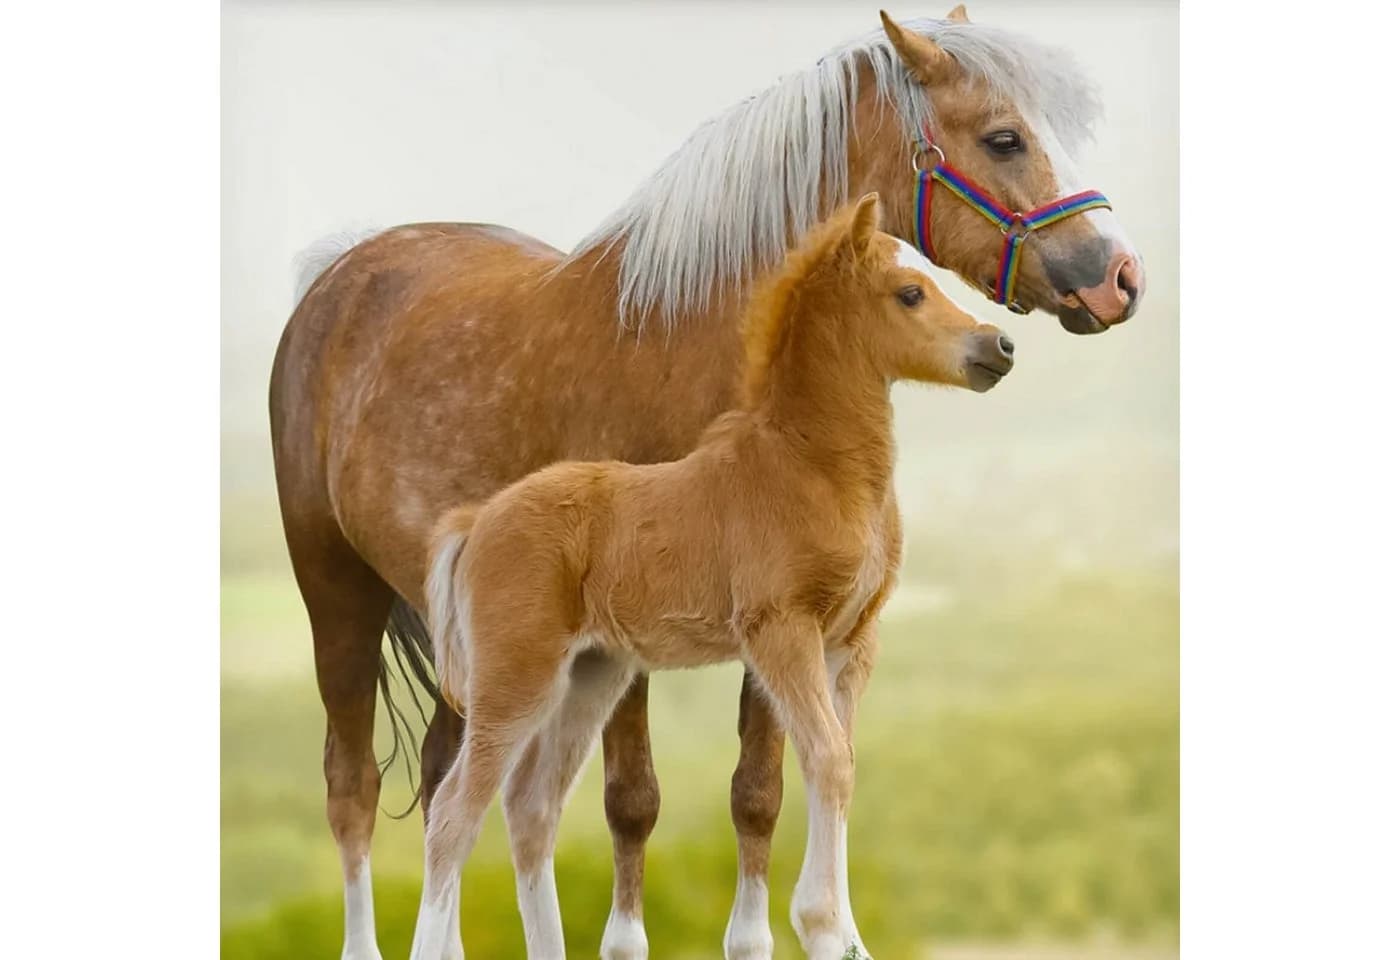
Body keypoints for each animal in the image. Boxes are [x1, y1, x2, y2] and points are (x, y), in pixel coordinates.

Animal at [409, 194, 1013, 960]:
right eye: (909, 293)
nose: (1000, 347)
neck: (813, 465)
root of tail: (479, 519)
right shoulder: (781, 630)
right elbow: (827, 759)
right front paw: (820, 925)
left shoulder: (851, 642)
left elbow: (842, 760)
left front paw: (843, 934)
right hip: (517, 673)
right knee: (454, 812)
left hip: (592, 672)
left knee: (532, 805)